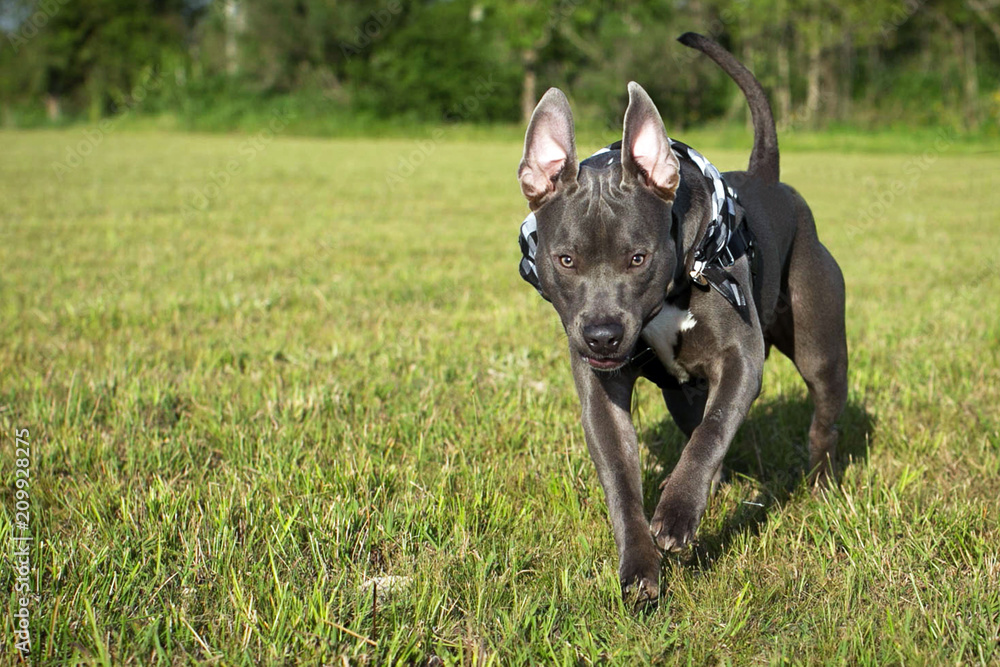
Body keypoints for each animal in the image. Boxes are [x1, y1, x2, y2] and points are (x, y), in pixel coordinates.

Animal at [516, 34, 852, 604]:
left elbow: (714, 432)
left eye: (638, 257)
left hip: (821, 352)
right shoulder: (602, 395)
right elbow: (622, 481)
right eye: (565, 260)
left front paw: (675, 515)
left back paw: (821, 488)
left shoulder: (741, 361)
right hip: (681, 393)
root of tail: (767, 178)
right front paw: (639, 567)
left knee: (821, 422)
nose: (602, 336)